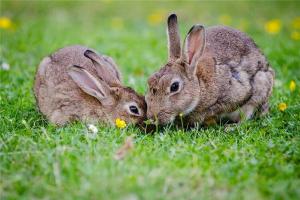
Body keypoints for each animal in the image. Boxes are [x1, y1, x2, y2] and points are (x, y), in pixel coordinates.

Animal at [145, 14, 274, 125]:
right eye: (149, 81)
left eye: (174, 87)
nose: (152, 117)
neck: (199, 86)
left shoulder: (237, 92)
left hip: (261, 85)